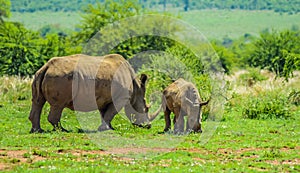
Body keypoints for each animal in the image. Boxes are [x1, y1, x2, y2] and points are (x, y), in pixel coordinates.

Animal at [29, 54, 161, 132]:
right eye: (146, 108)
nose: (148, 126)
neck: (136, 88)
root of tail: (46, 66)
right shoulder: (122, 98)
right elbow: (111, 113)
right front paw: (106, 129)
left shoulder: (104, 98)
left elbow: (105, 114)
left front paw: (108, 128)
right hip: (60, 77)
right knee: (58, 105)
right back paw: (62, 130)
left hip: (40, 75)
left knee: (38, 101)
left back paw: (37, 130)